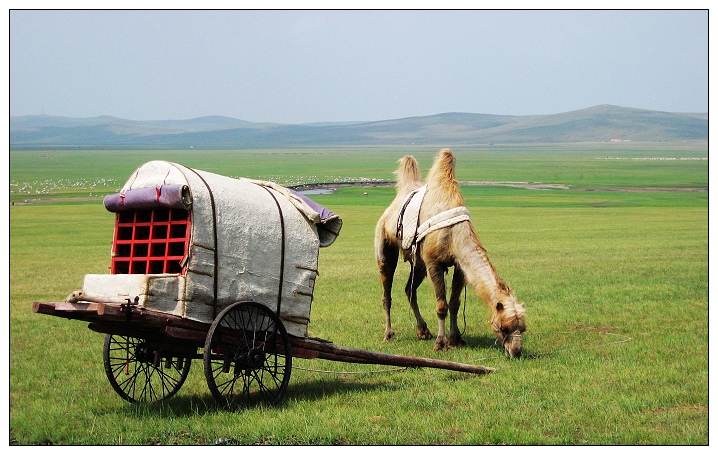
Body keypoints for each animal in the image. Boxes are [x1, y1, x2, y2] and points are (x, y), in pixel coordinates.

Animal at [374, 148, 524, 358]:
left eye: (523, 328)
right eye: (504, 327)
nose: (516, 351)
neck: (454, 233)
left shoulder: (459, 265)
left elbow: (454, 303)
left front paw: (456, 338)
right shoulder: (434, 263)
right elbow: (442, 306)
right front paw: (441, 343)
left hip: (418, 262)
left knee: (410, 290)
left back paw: (423, 331)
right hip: (385, 244)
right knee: (387, 291)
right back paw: (389, 334)